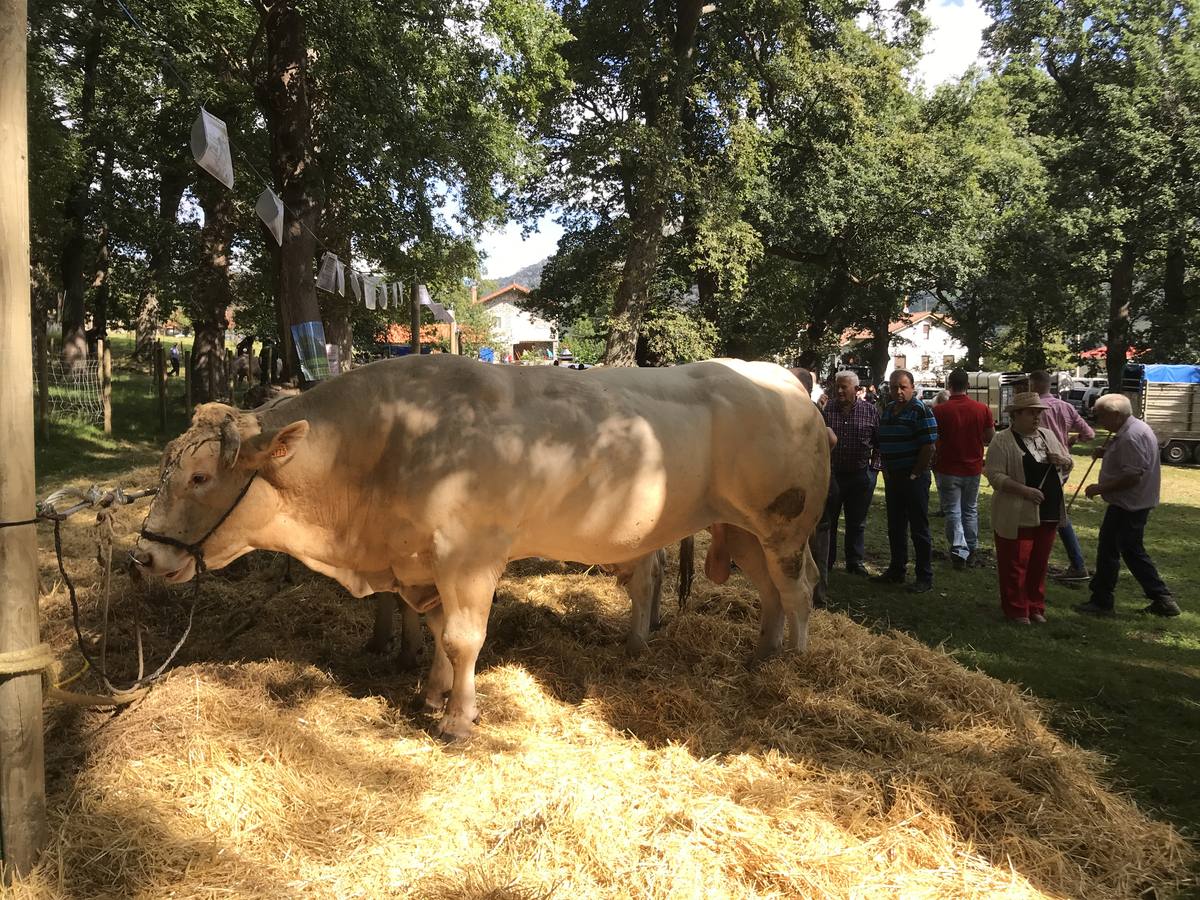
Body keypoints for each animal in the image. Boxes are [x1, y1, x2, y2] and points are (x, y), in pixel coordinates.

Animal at [131, 355, 825, 744]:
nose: (143, 557)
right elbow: (439, 632)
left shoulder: (468, 556)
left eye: (200, 477)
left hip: (786, 522)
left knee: (798, 587)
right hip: (744, 530)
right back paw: (759, 657)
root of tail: (784, 377)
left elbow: (464, 638)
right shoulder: (422, 563)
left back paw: (793, 667)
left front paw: (458, 721)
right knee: (767, 590)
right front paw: (432, 694)